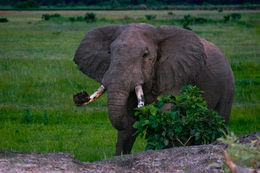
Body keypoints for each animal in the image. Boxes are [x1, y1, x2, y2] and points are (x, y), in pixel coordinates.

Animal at [73, 23, 236, 155]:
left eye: (145, 55)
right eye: (109, 53)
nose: (80, 95)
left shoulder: (177, 74)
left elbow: (167, 112)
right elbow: (127, 122)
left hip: (228, 84)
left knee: (221, 118)